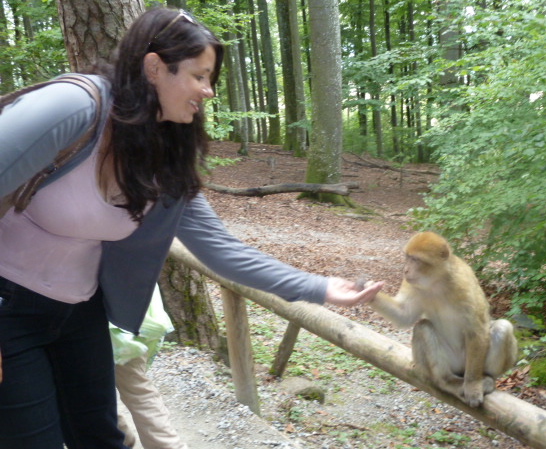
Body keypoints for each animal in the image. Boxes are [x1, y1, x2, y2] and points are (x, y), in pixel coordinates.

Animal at [360, 231, 516, 406]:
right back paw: (446, 381)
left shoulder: (464, 284)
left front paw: (473, 385)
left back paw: (486, 378)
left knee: (503, 327)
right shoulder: (412, 284)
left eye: (415, 259)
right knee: (423, 327)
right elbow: (404, 315)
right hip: (448, 363)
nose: (405, 270)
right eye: (407, 257)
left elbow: (477, 331)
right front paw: (368, 291)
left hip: (467, 362)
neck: (437, 281)